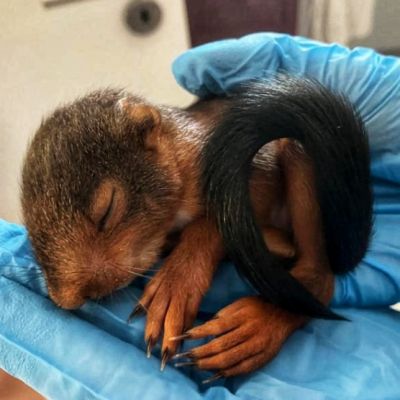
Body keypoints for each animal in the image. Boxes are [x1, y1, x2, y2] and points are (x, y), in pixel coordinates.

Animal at [20, 75, 372, 380]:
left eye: (107, 209)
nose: (67, 299)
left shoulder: (239, 154)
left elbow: (220, 215)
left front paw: (176, 284)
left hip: (303, 154)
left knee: (318, 279)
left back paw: (255, 325)